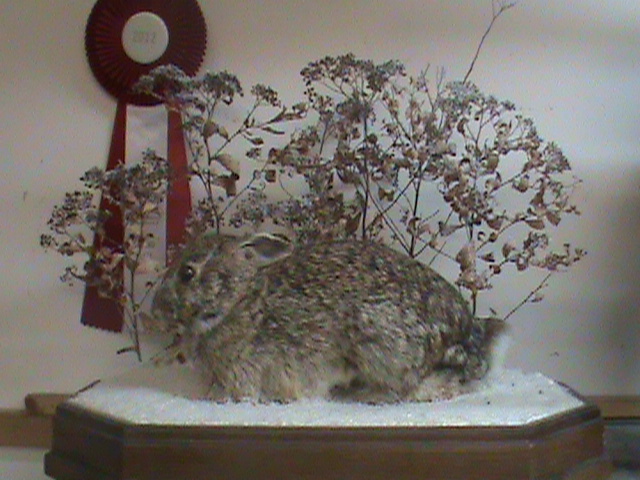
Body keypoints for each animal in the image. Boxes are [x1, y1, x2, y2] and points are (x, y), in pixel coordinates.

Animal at [150, 231, 505, 404]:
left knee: (409, 388)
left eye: (187, 273)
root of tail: (468, 341)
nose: (155, 308)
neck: (238, 299)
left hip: (379, 342)